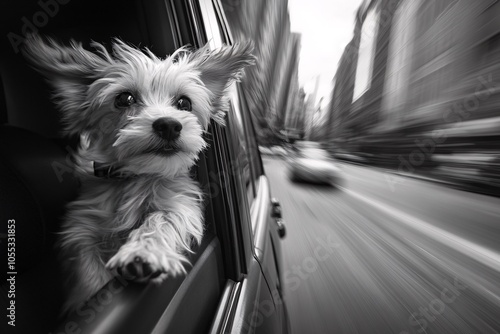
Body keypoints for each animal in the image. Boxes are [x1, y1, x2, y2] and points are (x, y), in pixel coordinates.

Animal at [22, 34, 254, 314]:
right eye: (124, 99)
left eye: (184, 103)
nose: (169, 125)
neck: (136, 177)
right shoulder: (81, 226)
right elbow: (88, 269)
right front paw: (86, 298)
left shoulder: (179, 204)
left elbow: (160, 219)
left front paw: (142, 254)